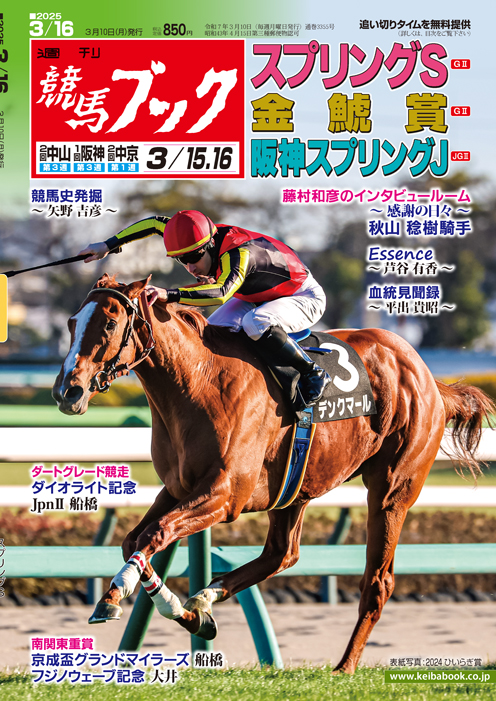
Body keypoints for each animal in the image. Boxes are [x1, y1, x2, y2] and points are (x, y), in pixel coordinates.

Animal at [52, 273, 494, 674]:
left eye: (109, 323)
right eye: (73, 322)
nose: (66, 391)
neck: (197, 382)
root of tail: (428, 378)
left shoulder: (225, 494)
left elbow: (156, 534)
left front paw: (113, 600)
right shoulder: (177, 488)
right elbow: (134, 541)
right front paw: (189, 615)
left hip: (392, 489)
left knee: (377, 580)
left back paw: (345, 666)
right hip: (296, 487)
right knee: (282, 553)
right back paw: (204, 599)